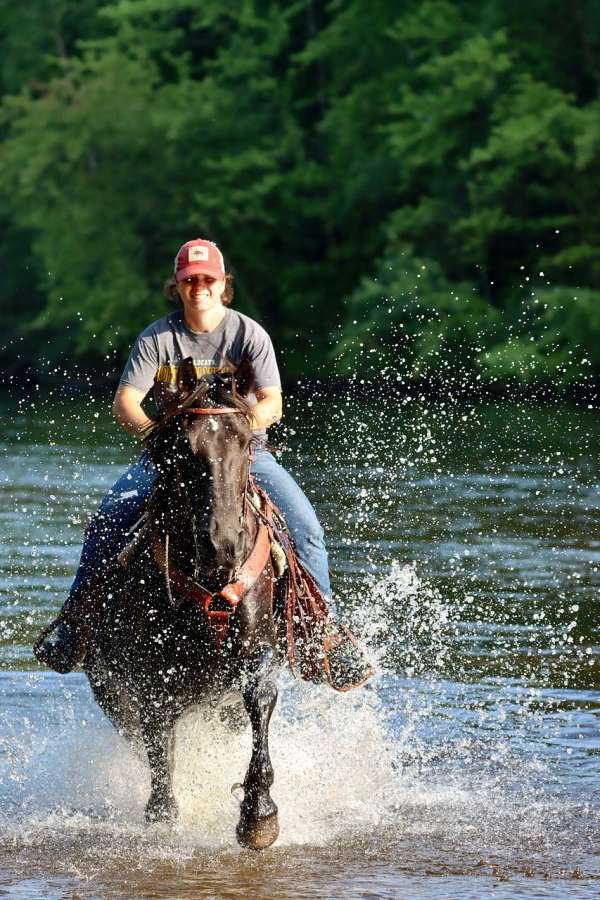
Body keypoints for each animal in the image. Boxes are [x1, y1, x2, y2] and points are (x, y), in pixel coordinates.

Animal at [82, 374, 282, 852]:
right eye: (183, 449)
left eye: (245, 442)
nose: (221, 546)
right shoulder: (150, 676)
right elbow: (159, 746)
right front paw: (162, 817)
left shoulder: (257, 652)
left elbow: (259, 701)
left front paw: (259, 816)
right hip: (110, 690)